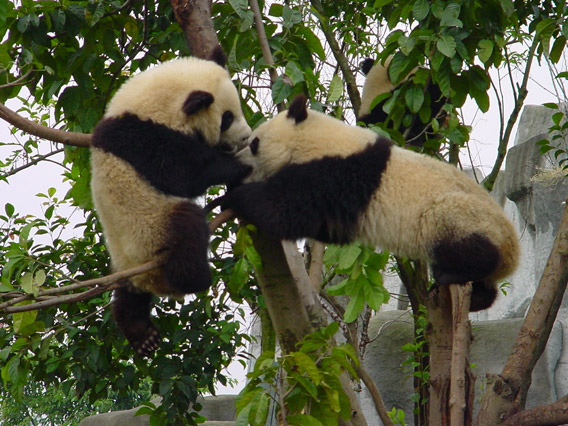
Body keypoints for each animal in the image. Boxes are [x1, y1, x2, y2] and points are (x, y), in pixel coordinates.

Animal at [91, 45, 251, 356]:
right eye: (226, 118)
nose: (246, 137)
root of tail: (150, 278)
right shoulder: (145, 140)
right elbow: (184, 174)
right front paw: (238, 165)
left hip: (125, 260)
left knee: (129, 294)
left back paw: (141, 333)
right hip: (153, 228)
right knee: (187, 226)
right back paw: (198, 277)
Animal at [222, 95, 520, 312]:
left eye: (254, 143)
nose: (241, 164)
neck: (319, 141)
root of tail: (512, 256)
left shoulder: (340, 175)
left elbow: (290, 210)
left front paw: (235, 194)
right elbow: (326, 228)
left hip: (461, 218)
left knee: (465, 243)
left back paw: (448, 275)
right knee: (487, 288)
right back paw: (478, 298)